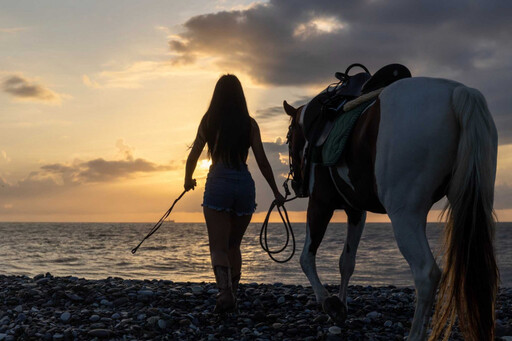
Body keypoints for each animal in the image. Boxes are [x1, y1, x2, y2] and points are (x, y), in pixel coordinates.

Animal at [282, 77, 498, 340]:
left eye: (289, 138)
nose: (296, 184)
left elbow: (306, 257)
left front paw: (330, 303)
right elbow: (347, 262)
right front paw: (341, 308)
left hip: (404, 216)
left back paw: (415, 334)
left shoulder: (320, 204)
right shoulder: (356, 211)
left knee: (426, 274)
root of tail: (457, 91)